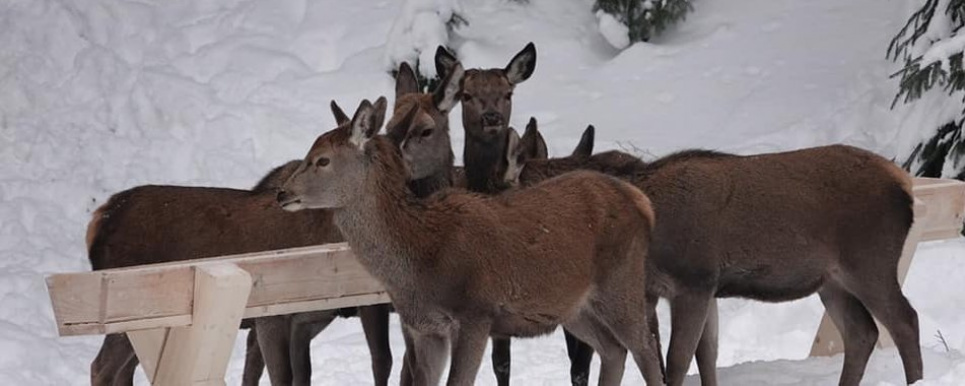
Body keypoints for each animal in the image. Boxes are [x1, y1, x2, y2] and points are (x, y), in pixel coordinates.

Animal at [274, 99, 664, 386]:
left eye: (322, 159)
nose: (281, 192)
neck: (420, 258)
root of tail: (641, 201)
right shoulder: (425, 328)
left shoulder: (476, 314)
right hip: (573, 307)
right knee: (614, 351)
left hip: (621, 282)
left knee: (646, 351)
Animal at [500, 123, 924, 386]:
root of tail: (903, 182)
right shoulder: (686, 289)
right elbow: (705, 355)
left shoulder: (694, 280)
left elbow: (676, 361)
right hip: (831, 280)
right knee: (862, 332)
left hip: (869, 261)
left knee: (904, 321)